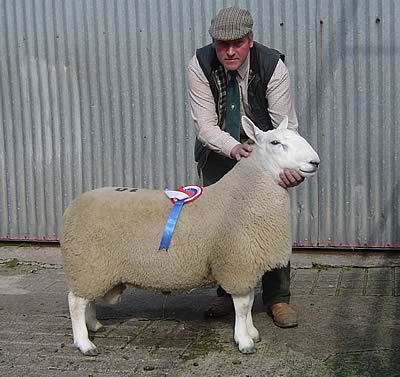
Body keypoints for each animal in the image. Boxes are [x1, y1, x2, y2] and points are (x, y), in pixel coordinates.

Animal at [61, 115, 320, 356]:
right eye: (275, 142)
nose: (315, 162)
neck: (243, 196)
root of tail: (73, 205)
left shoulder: (245, 263)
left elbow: (247, 303)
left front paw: (251, 332)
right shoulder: (236, 262)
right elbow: (242, 305)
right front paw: (244, 341)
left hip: (92, 268)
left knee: (86, 299)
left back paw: (94, 325)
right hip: (89, 263)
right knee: (75, 302)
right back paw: (85, 343)